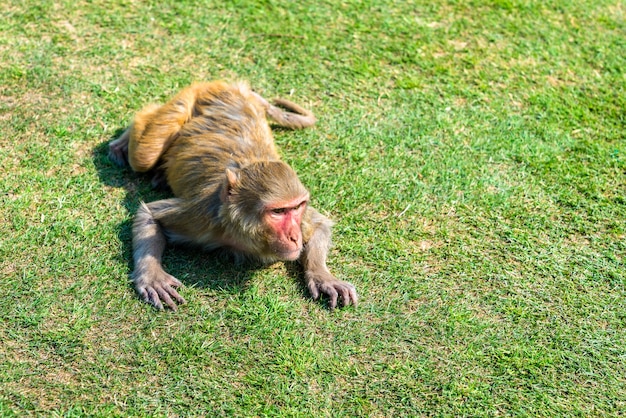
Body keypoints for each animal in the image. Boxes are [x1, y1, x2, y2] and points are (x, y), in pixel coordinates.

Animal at [108, 81, 356, 310]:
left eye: (296, 207)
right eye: (278, 211)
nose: (295, 236)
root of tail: (234, 86)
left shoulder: (301, 218)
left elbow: (320, 224)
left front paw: (323, 277)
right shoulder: (202, 216)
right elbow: (149, 213)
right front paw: (152, 275)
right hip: (189, 97)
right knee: (144, 155)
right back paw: (127, 140)